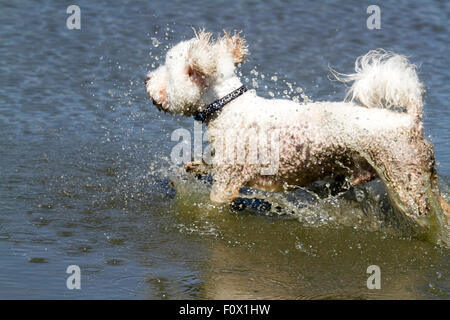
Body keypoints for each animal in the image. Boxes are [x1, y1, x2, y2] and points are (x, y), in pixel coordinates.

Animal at [146, 30, 448, 242]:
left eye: (168, 71)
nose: (147, 80)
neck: (229, 108)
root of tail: (411, 121)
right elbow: (202, 164)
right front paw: (191, 168)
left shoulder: (226, 184)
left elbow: (212, 204)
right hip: (423, 182)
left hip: (407, 186)